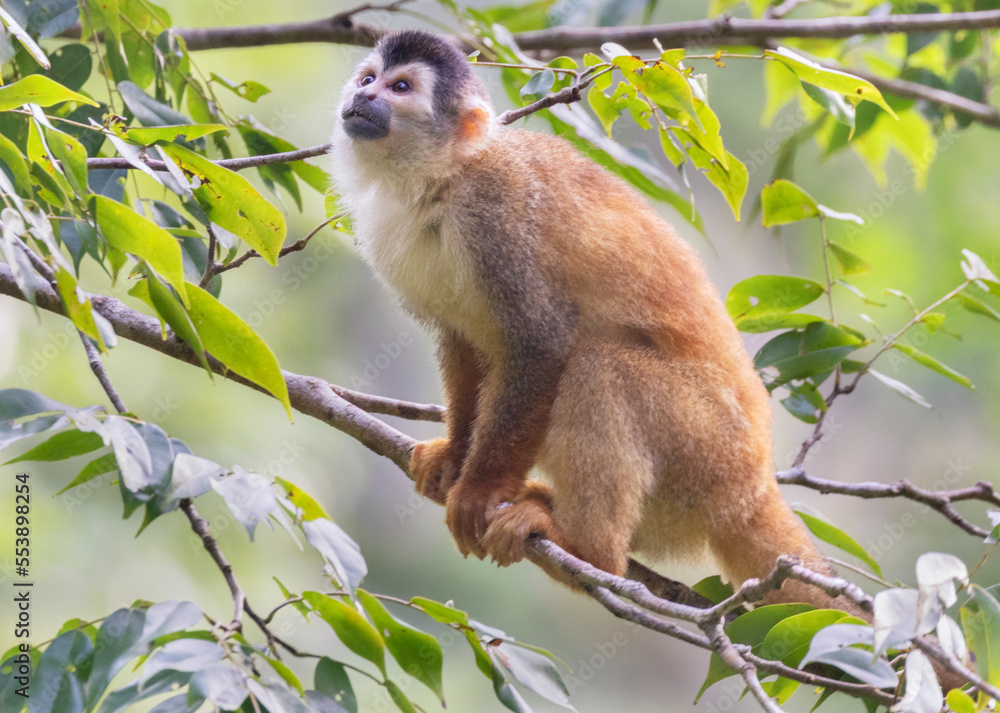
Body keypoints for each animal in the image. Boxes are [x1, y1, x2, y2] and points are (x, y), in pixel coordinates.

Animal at [330, 30, 845, 610]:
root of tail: (755, 489)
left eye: (400, 88)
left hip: (708, 455)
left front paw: (479, 491)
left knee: (601, 364)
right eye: (369, 78)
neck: (442, 180)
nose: (365, 96)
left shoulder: (496, 213)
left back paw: (588, 551)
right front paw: (456, 459)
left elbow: (542, 343)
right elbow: (463, 344)